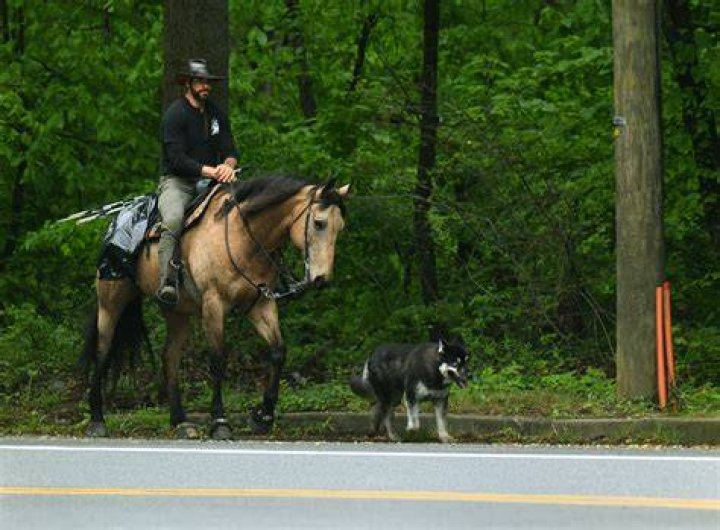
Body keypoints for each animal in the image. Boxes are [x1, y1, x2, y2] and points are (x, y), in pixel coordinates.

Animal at [82, 175, 350, 439]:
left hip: (177, 312)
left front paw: (262, 417)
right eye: (319, 223)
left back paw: (181, 422)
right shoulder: (214, 304)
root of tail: (118, 221)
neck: (243, 237)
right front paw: (220, 422)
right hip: (111, 302)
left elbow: (278, 352)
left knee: (169, 357)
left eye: (340, 228)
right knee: (102, 351)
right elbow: (218, 359)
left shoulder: (260, 305)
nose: (322, 279)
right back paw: (97, 421)